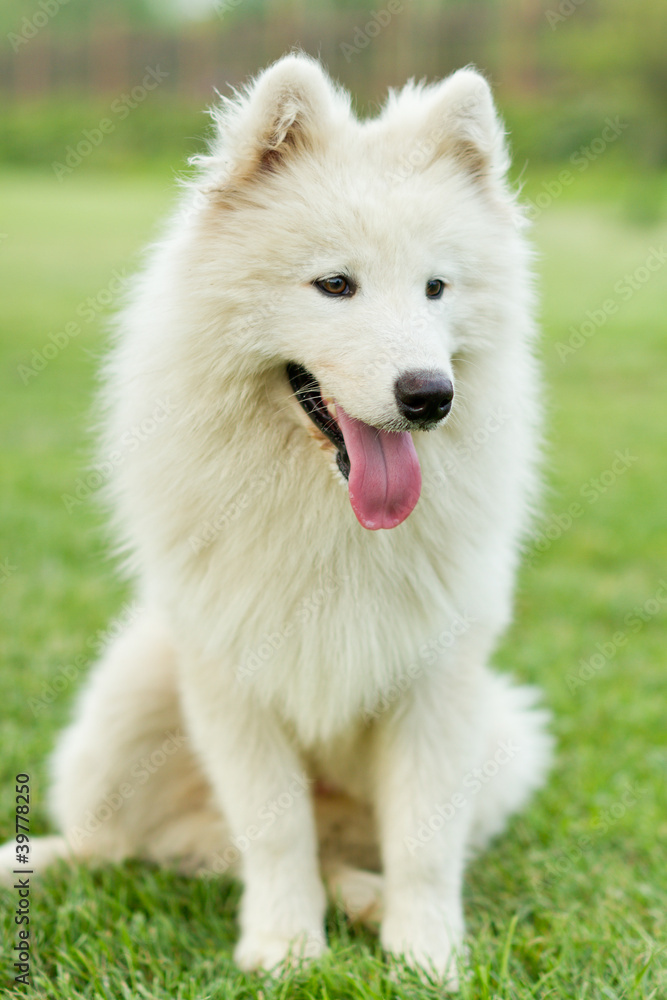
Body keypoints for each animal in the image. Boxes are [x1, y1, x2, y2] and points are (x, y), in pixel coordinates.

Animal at [1, 56, 552, 992]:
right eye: (335, 284)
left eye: (436, 287)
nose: (429, 396)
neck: (327, 512)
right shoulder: (234, 679)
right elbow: (274, 828)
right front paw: (286, 952)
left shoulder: (437, 686)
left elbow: (422, 841)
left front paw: (426, 957)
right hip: (130, 692)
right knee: (130, 846)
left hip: (504, 737)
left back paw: (364, 900)